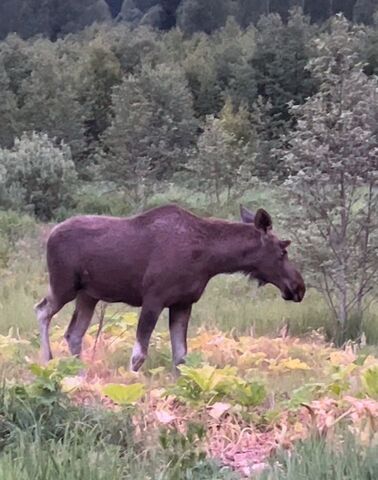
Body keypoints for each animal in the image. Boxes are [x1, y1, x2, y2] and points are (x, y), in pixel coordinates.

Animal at [35, 202, 306, 372]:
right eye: (283, 250)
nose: (299, 286)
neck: (209, 259)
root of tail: (50, 235)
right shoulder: (153, 299)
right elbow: (138, 356)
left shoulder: (183, 303)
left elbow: (181, 357)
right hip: (63, 285)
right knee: (42, 310)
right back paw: (48, 360)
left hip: (88, 295)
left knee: (73, 334)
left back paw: (78, 374)